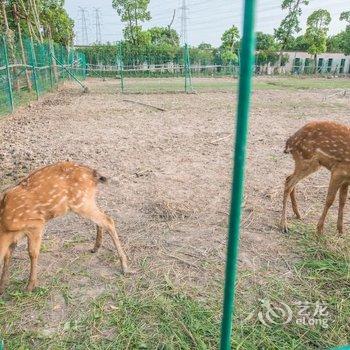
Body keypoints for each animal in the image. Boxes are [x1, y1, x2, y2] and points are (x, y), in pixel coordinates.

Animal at [0, 163, 133, 294]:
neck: (6, 227)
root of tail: (93, 174)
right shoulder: (15, 236)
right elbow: (7, 255)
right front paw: (2, 286)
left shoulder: (37, 224)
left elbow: (32, 253)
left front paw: (30, 287)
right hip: (87, 202)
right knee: (103, 217)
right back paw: (96, 247)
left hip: (82, 203)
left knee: (108, 221)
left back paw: (125, 268)